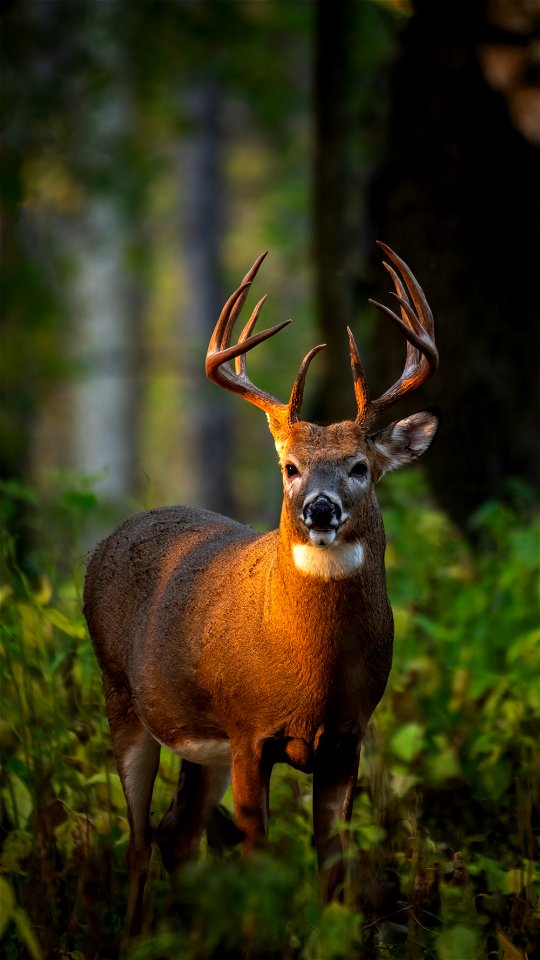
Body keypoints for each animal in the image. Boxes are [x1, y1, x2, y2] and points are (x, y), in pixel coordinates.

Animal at [83, 242, 438, 936]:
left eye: (361, 466)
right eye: (289, 467)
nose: (320, 508)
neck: (312, 675)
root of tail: (108, 540)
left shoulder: (348, 738)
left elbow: (331, 864)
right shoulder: (248, 731)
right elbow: (258, 860)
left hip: (202, 747)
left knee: (176, 833)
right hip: (122, 699)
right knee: (137, 840)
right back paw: (138, 936)